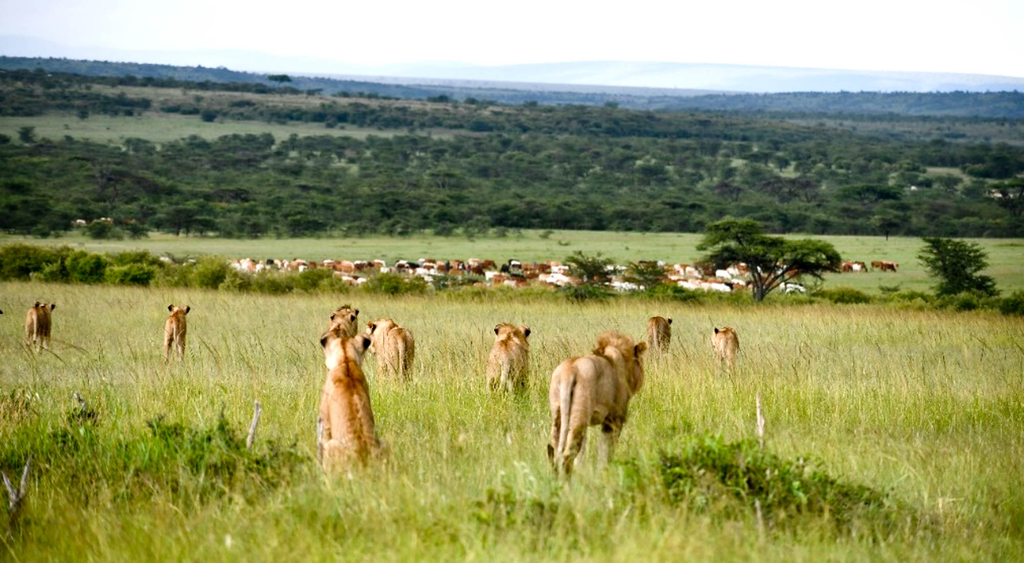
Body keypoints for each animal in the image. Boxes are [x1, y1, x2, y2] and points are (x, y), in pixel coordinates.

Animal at [547, 332, 647, 477]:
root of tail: (569, 372)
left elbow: (582, 454)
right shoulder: (614, 420)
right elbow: (605, 451)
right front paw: (604, 472)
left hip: (559, 415)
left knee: (555, 453)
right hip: (579, 418)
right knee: (567, 456)